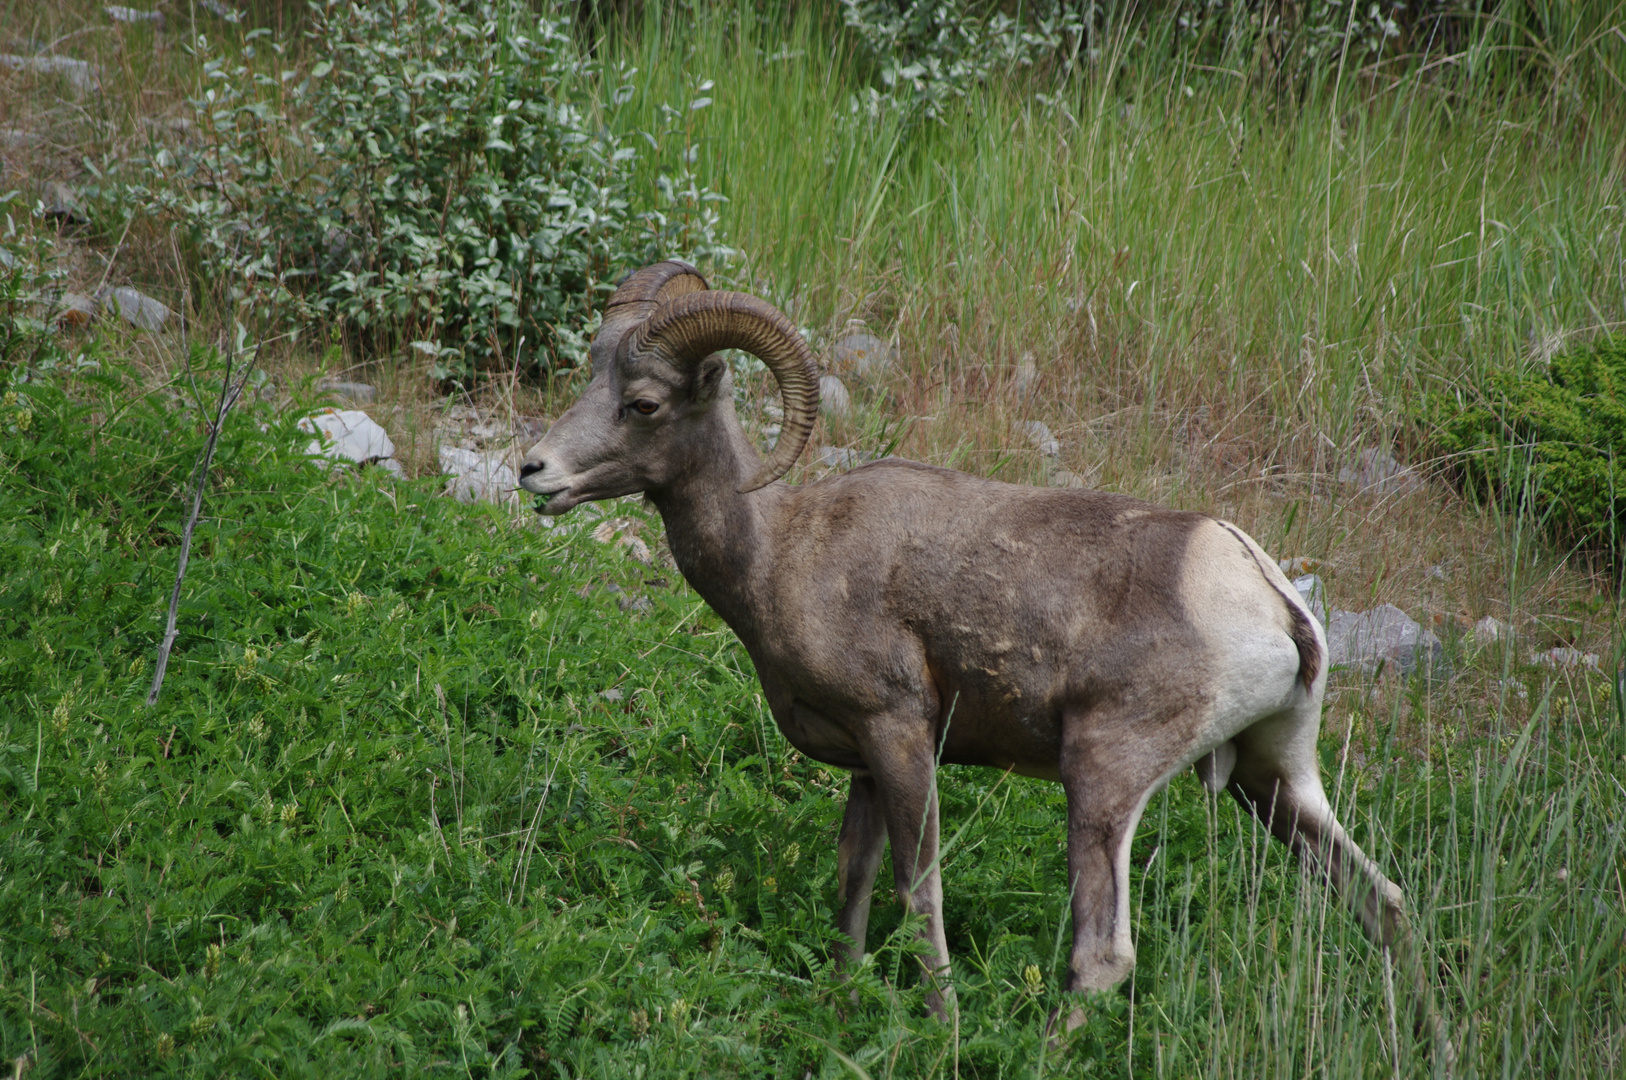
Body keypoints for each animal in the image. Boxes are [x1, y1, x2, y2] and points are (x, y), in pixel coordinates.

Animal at [526, 263, 1430, 1040]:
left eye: (643, 403)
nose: (534, 470)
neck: (780, 550)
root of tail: (1271, 599)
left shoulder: (900, 737)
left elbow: (917, 890)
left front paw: (940, 1024)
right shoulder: (865, 765)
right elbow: (854, 886)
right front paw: (842, 1002)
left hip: (1104, 779)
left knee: (1102, 956)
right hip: (1274, 780)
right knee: (1383, 904)